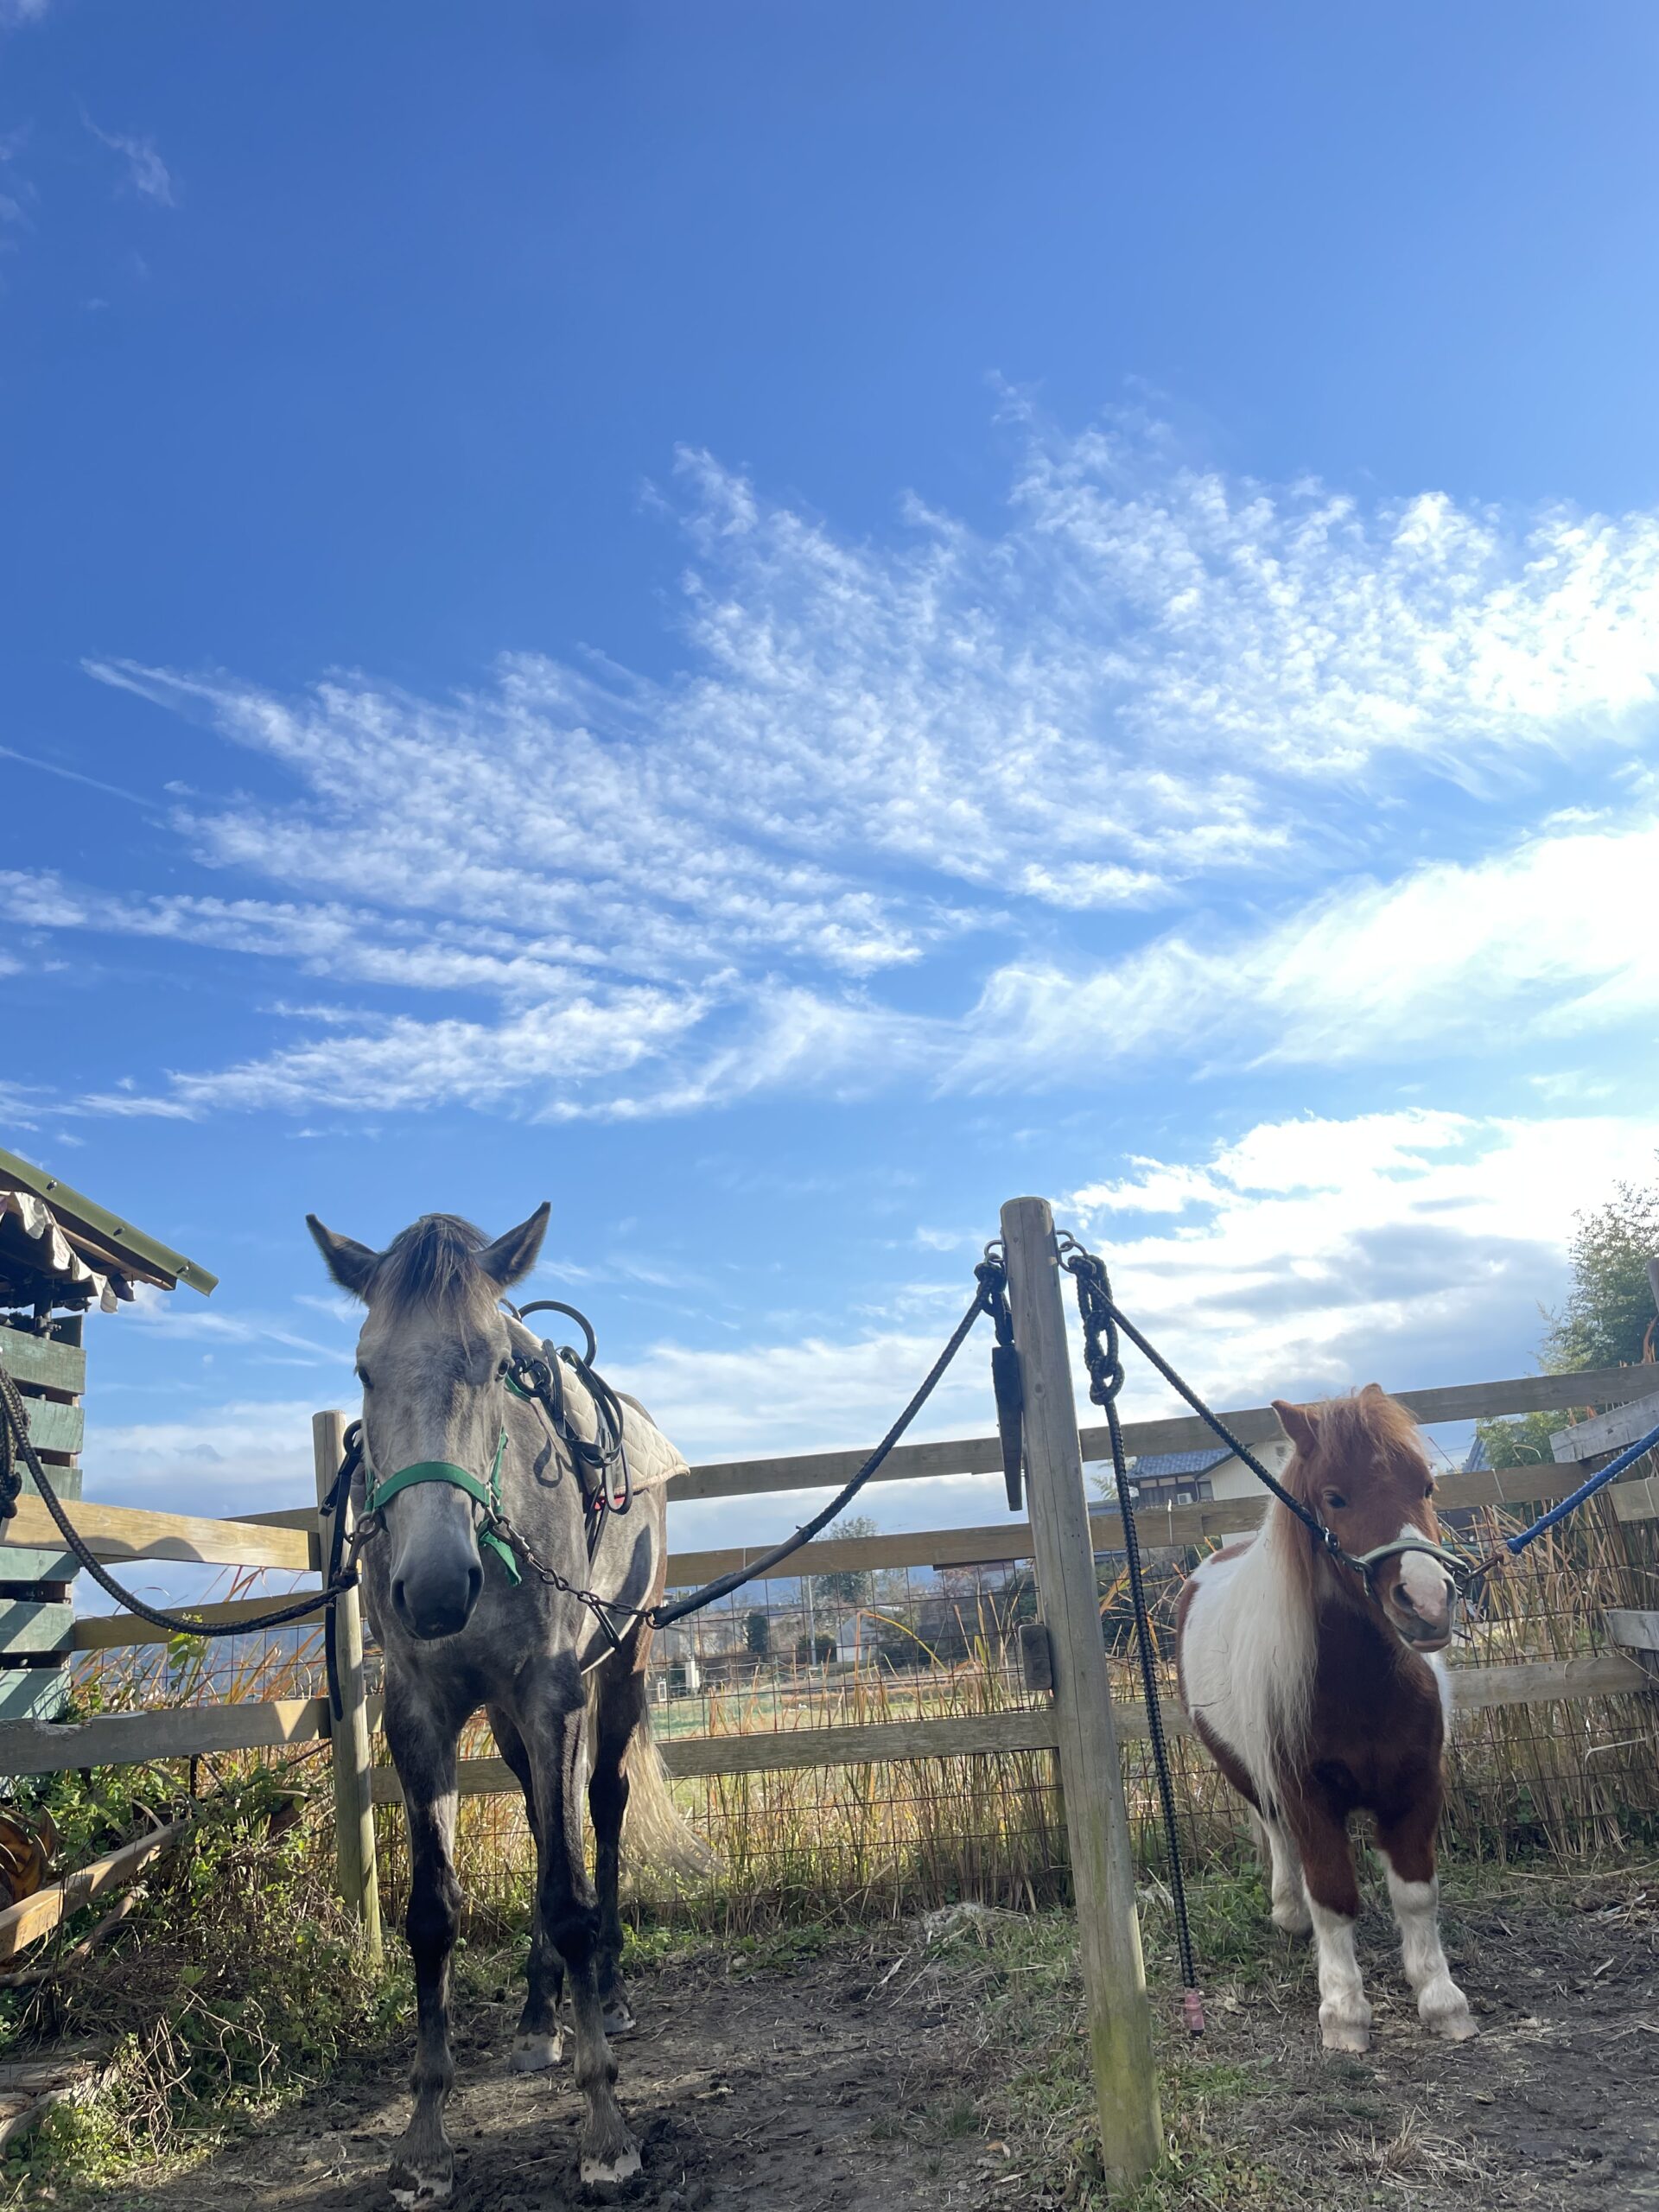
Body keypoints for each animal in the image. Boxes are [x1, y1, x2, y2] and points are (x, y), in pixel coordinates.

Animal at [309, 1211, 703, 2194]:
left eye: (492, 1366)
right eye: (365, 1369)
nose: (436, 1586)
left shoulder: (550, 1692)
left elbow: (567, 1892)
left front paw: (604, 2124)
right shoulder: (423, 1714)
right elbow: (432, 1913)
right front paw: (424, 2137)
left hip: (622, 1665)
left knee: (600, 1808)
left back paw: (607, 1990)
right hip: (508, 1720)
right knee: (541, 1818)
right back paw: (536, 2016)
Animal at [1185, 1380, 1478, 2052]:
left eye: (1427, 1486)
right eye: (1334, 1498)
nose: (1428, 1602)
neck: (1360, 1689)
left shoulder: (1417, 1788)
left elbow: (1416, 1894)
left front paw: (1440, 1998)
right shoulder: (1307, 1796)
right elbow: (1334, 1897)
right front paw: (1344, 2011)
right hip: (1247, 1773)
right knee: (1277, 1838)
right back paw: (1289, 1913)